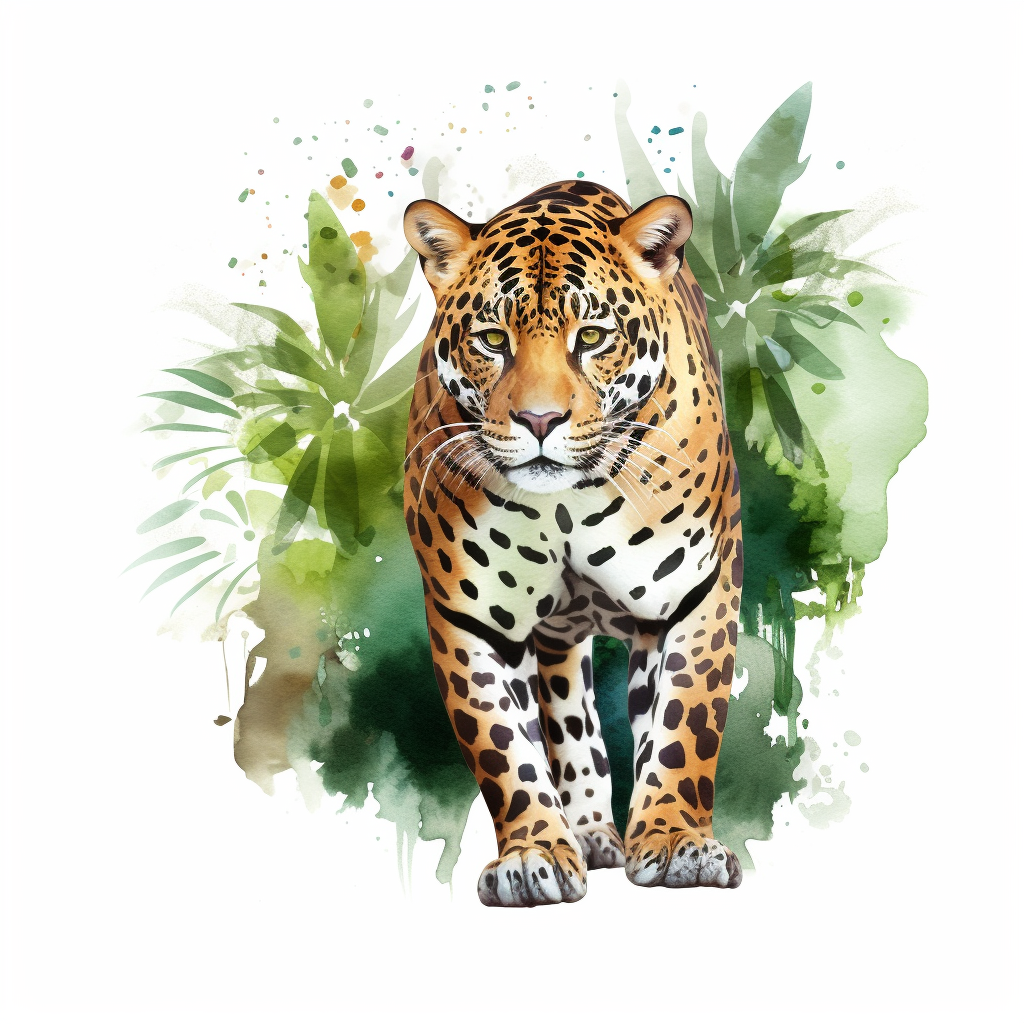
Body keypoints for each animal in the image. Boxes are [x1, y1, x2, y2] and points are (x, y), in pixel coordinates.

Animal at [402, 179, 743, 907]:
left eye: (591, 337)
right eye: (492, 339)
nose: (539, 420)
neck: (565, 507)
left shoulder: (698, 592)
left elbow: (686, 725)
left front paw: (676, 843)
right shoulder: (469, 617)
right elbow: (504, 746)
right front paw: (534, 856)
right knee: (570, 721)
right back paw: (587, 832)